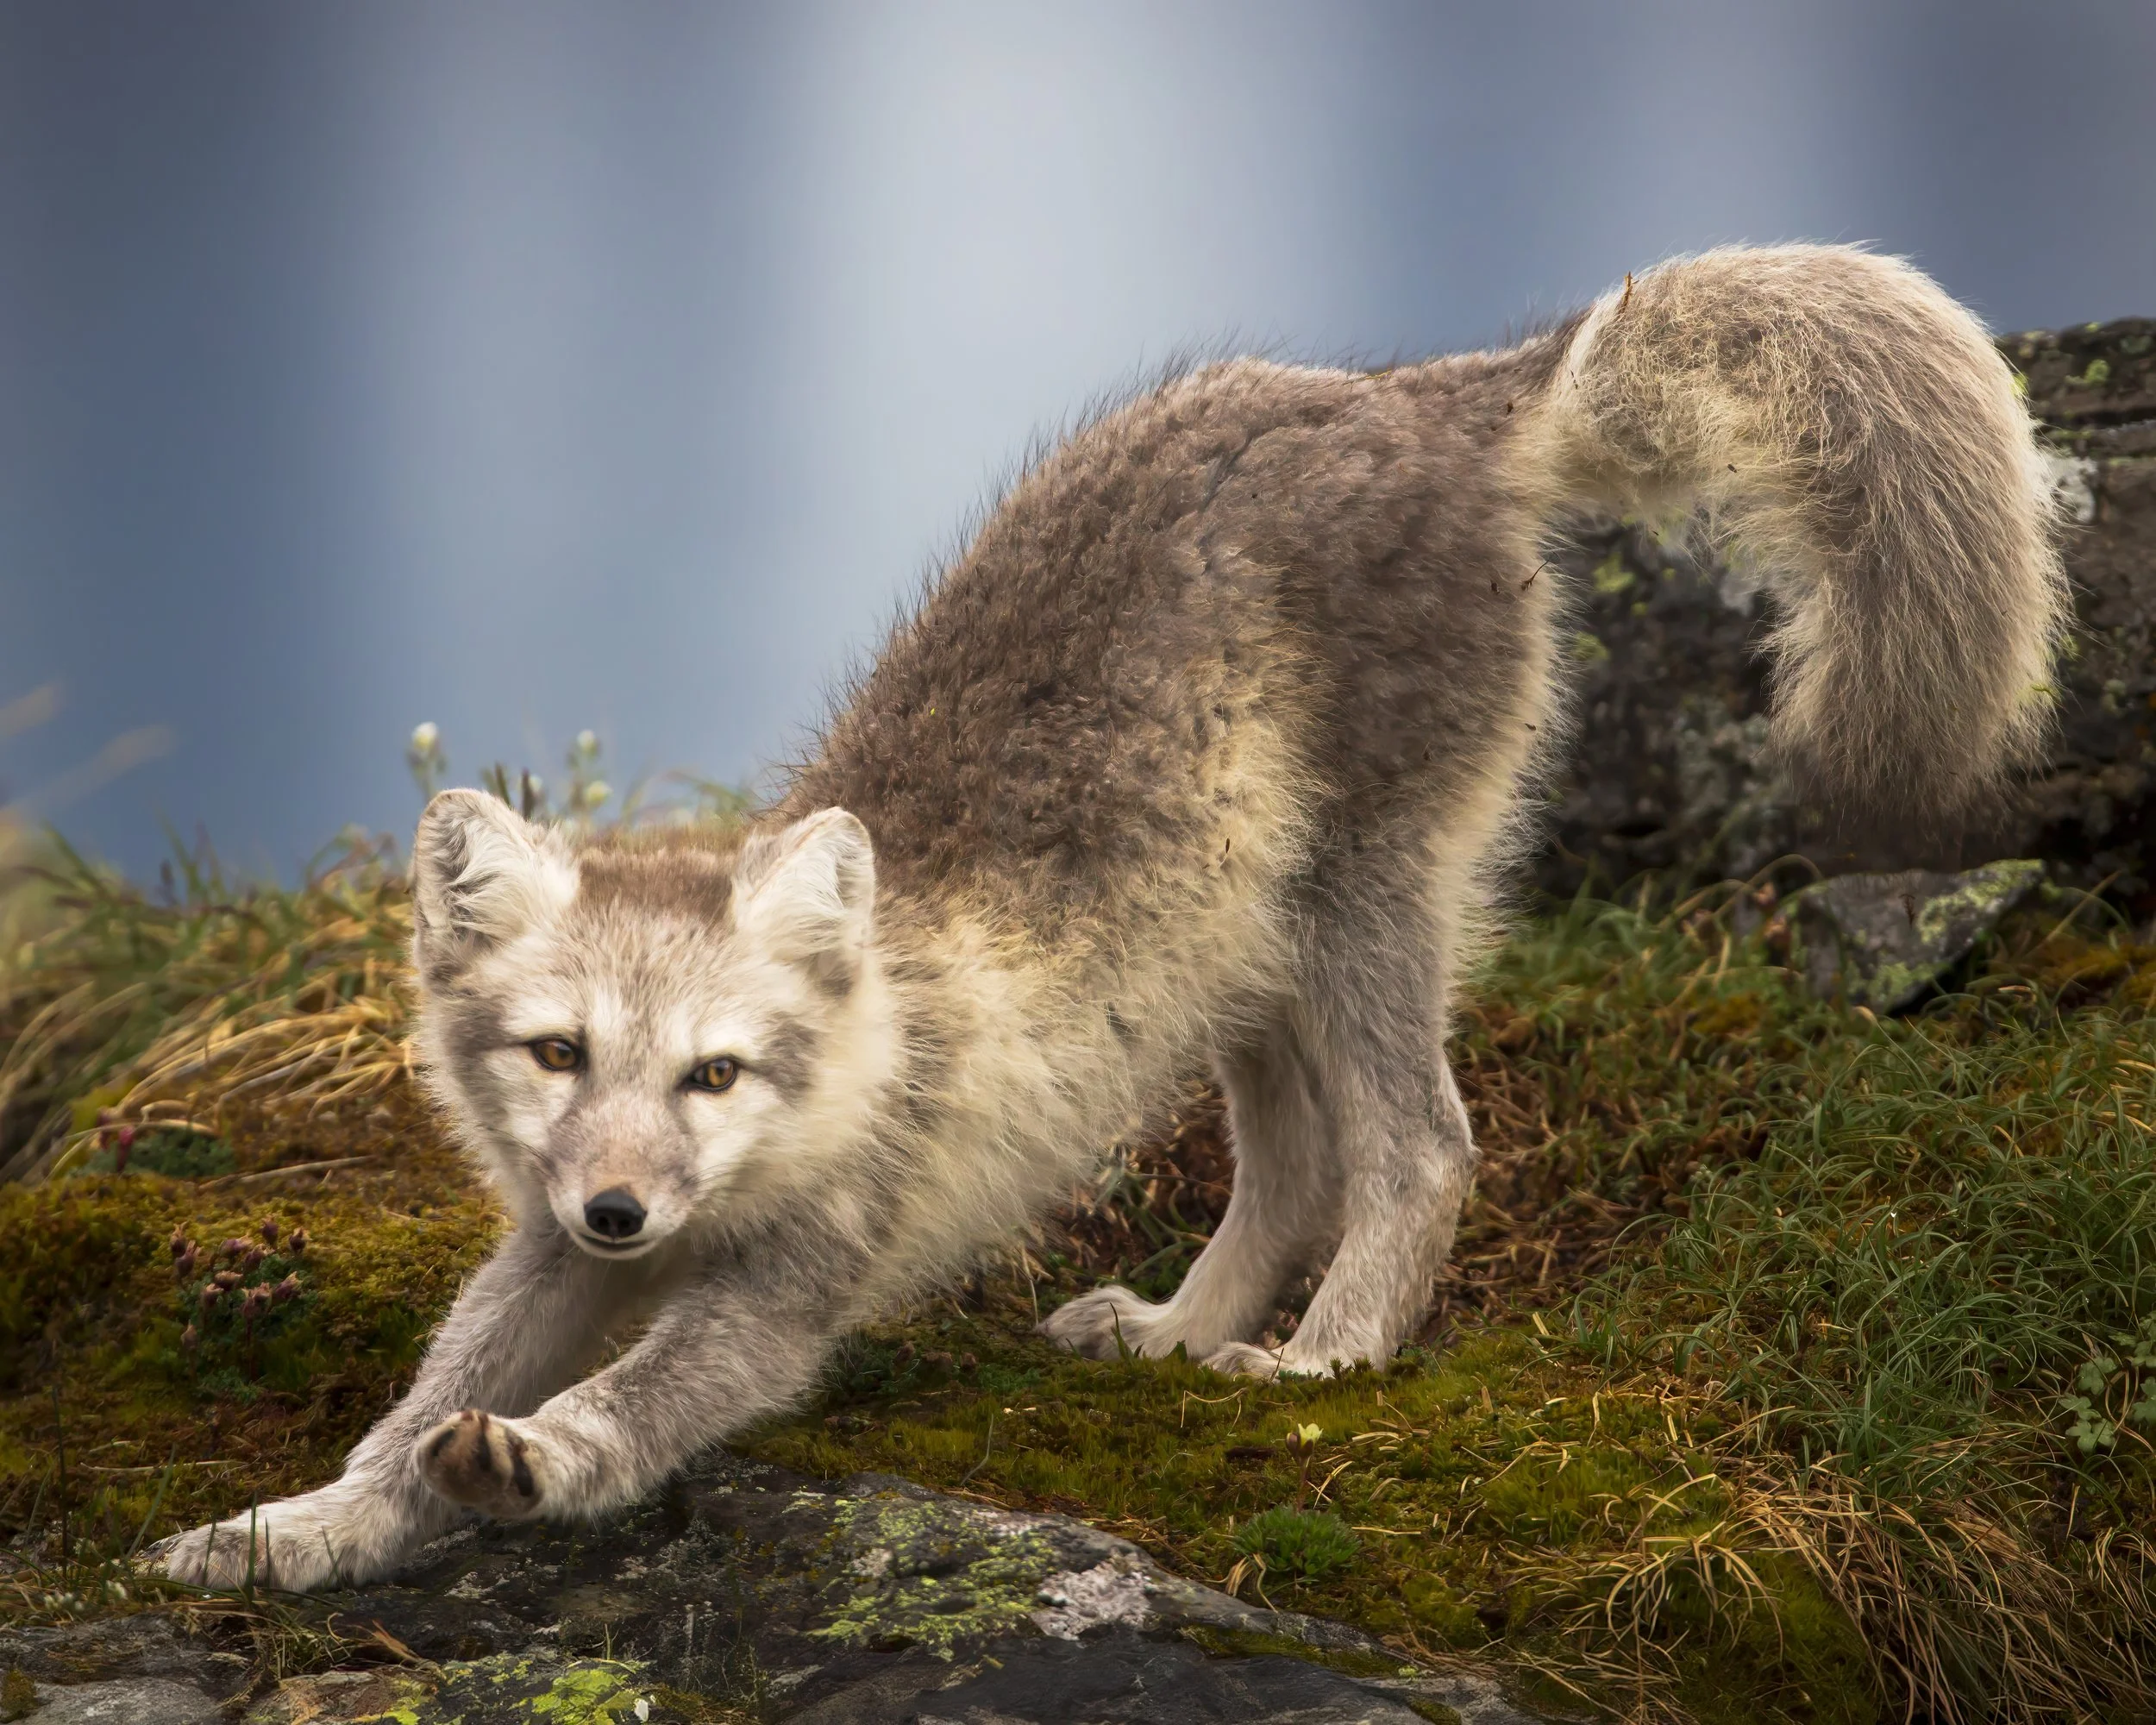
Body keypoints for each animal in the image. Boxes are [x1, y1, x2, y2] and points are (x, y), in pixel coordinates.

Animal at [160, 245, 2064, 1591]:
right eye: (558, 1054)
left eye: (716, 1072)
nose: (627, 1208)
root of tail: (1417, 393)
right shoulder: (544, 1251)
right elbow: (415, 1408)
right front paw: (296, 1529)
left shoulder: (787, 1287)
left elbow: (638, 1399)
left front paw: (543, 1461)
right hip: (1234, 958)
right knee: (1295, 1165)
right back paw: (1178, 1337)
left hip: (1363, 900)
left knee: (1420, 1146)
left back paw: (1326, 1359)